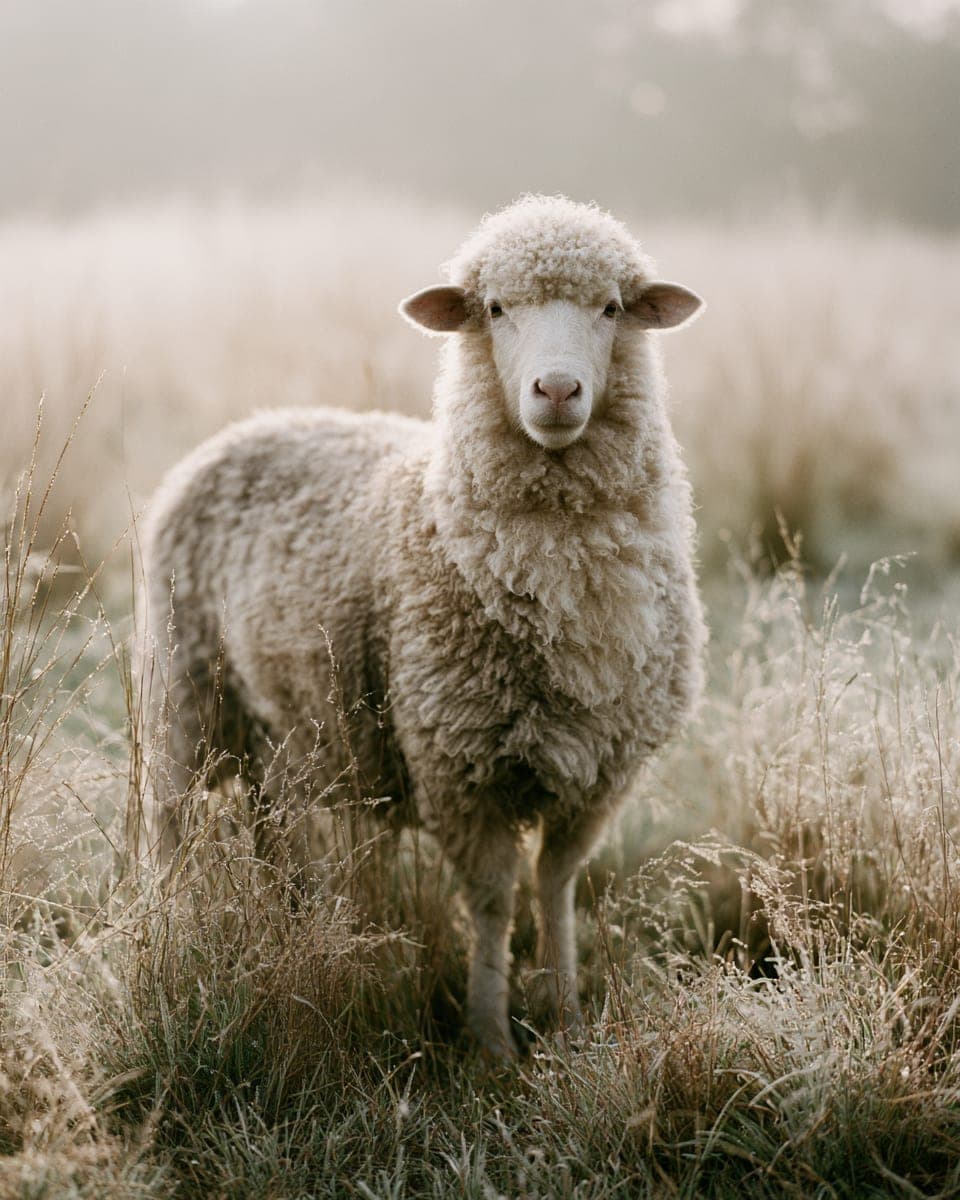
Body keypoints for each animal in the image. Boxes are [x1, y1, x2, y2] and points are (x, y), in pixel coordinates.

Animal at [141, 194, 706, 1059]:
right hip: (185, 691)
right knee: (168, 823)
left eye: (612, 308)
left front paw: (568, 1020)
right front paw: (492, 1042)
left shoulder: (600, 772)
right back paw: (171, 925)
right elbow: (495, 902)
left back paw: (281, 918)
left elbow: (557, 888)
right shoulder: (457, 764)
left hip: (280, 727)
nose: (556, 389)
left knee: (270, 822)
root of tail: (251, 424)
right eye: (496, 309)